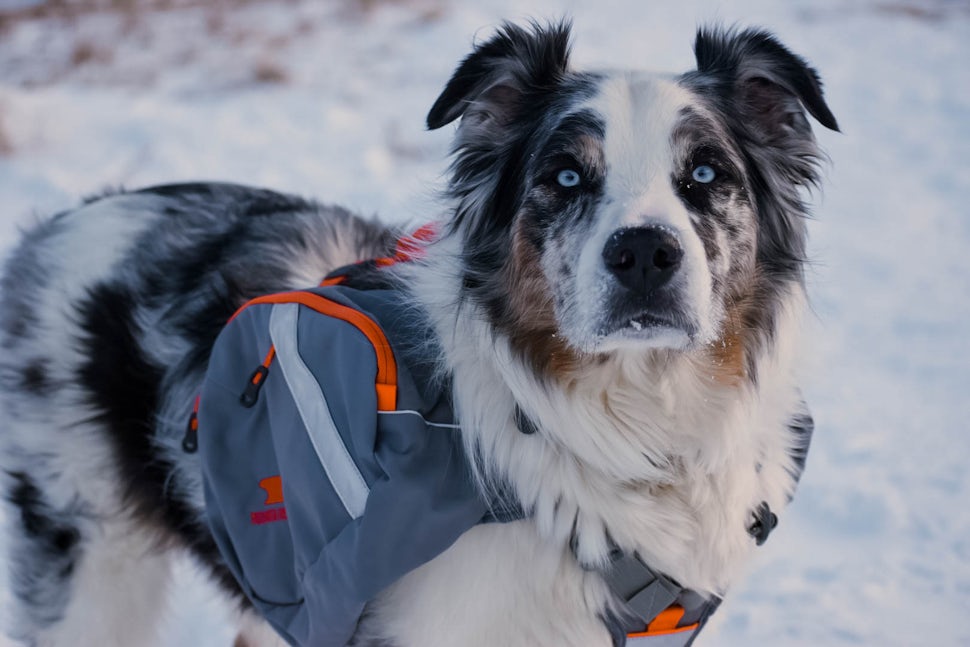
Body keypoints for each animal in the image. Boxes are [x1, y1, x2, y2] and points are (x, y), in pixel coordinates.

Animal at [0, 20, 832, 647]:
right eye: (565, 176)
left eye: (706, 174)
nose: (644, 255)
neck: (631, 427)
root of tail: (61, 223)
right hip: (92, 564)